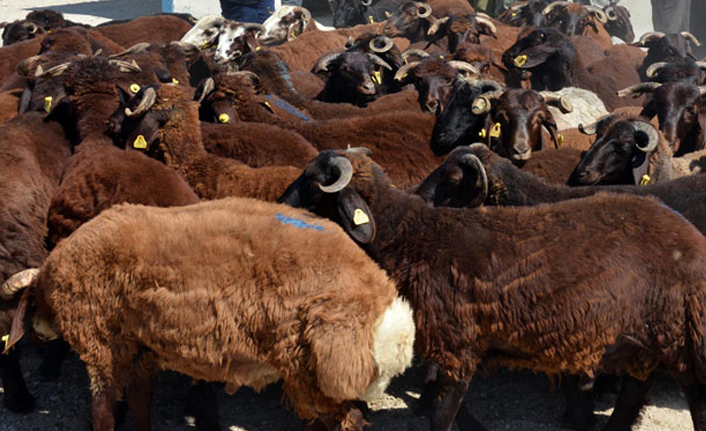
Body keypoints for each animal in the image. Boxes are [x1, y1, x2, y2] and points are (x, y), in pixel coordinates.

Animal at [2, 198, 412, 431]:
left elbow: (103, 413)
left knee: (346, 422)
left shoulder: (102, 347)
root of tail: (393, 317)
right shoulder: (141, 350)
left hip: (315, 373)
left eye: (31, 303)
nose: (37, 337)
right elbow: (140, 402)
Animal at [278, 147, 706, 431]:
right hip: (642, 343)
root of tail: (689, 235)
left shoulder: (457, 344)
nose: (277, 204)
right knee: (634, 393)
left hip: (685, 341)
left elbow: (441, 414)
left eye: (313, 182)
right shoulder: (459, 349)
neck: (412, 237)